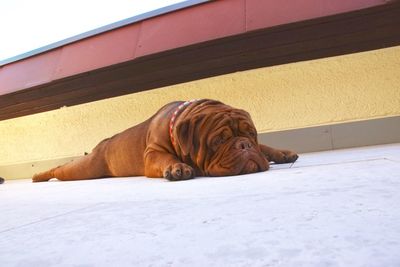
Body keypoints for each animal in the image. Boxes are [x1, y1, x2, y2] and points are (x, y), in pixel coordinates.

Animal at [33, 99, 296, 183]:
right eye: (218, 140)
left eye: (250, 133)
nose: (244, 145)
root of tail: (102, 143)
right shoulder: (154, 154)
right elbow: (165, 158)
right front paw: (177, 167)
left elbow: (265, 147)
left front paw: (282, 153)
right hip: (84, 169)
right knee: (62, 168)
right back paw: (39, 176)